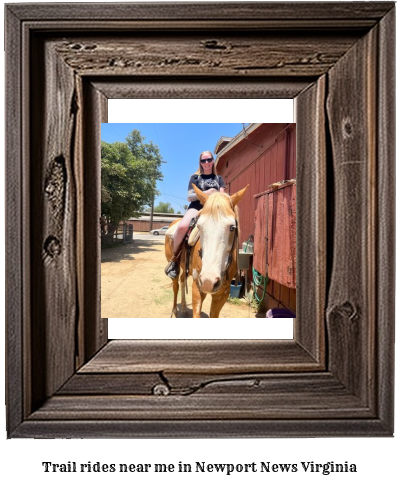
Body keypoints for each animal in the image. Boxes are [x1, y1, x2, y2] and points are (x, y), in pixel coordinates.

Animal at [165, 185, 247, 318]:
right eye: (199, 226)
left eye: (232, 227)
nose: (208, 282)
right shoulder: (197, 286)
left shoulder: (222, 294)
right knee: (176, 285)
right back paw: (174, 311)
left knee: (182, 280)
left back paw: (183, 308)